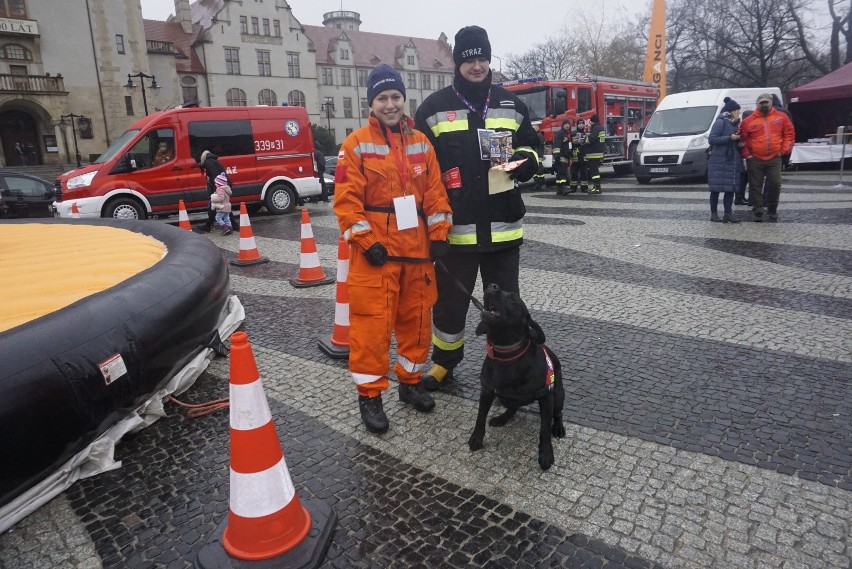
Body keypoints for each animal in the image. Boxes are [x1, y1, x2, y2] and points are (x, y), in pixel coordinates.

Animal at [466, 280, 564, 470]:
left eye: (513, 299)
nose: (492, 286)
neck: (506, 354)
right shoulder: (487, 390)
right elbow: (480, 417)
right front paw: (476, 438)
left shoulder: (546, 396)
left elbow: (544, 430)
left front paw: (546, 454)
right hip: (504, 397)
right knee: (512, 408)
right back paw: (501, 418)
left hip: (557, 396)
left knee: (557, 414)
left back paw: (558, 427)